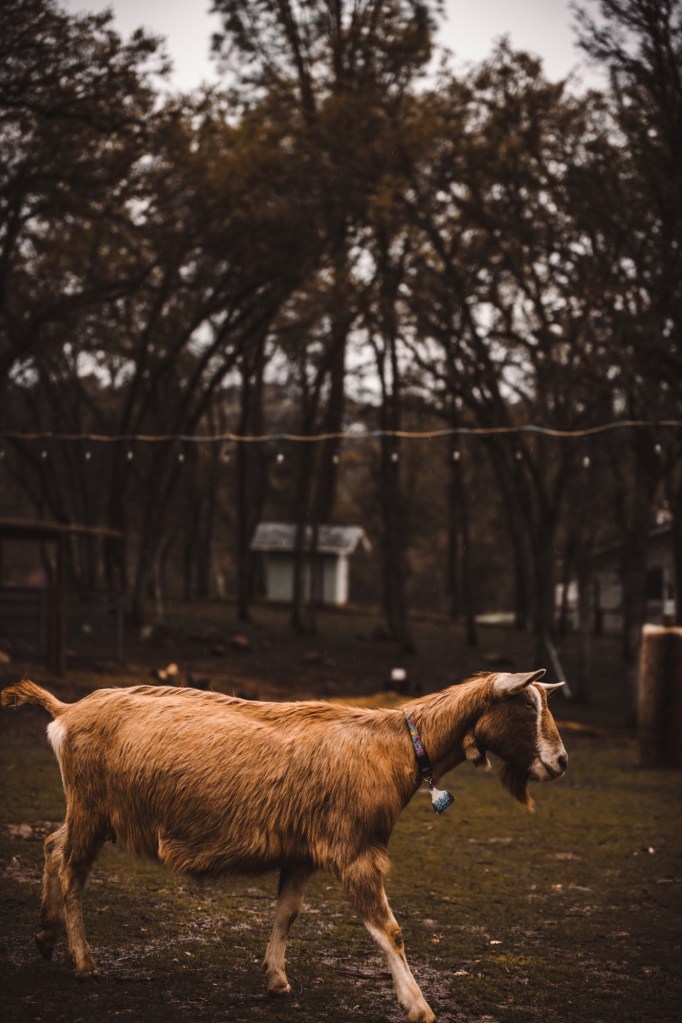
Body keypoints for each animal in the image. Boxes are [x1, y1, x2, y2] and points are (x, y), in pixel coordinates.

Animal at [1, 669, 567, 1023]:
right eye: (524, 704)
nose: (562, 762)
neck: (394, 747)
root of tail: (66, 710)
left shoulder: (301, 851)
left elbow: (286, 913)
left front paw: (276, 979)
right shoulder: (354, 851)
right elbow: (390, 930)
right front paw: (419, 1007)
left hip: (88, 811)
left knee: (52, 845)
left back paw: (46, 936)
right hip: (92, 808)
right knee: (71, 867)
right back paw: (83, 962)